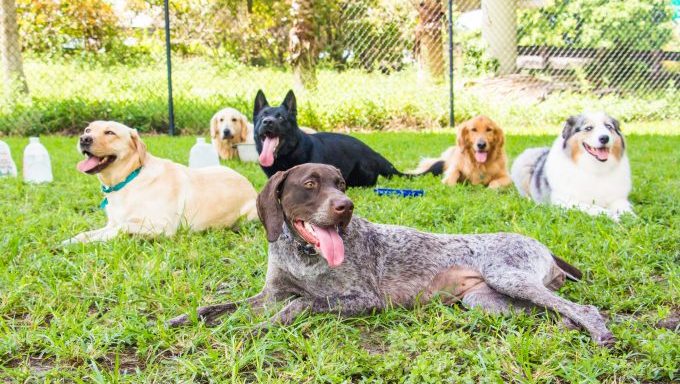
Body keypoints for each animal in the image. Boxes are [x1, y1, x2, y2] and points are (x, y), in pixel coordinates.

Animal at [63, 121, 258, 244]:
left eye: (110, 132)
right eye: (88, 130)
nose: (83, 139)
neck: (128, 179)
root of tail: (249, 184)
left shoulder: (163, 226)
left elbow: (121, 227)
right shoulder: (111, 222)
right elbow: (88, 232)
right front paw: (71, 240)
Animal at [170, 163, 616, 348]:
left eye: (341, 183)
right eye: (310, 184)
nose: (345, 207)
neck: (303, 254)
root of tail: (544, 247)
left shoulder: (363, 300)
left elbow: (301, 304)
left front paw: (253, 331)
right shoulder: (270, 293)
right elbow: (220, 306)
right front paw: (186, 318)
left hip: (509, 279)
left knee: (585, 309)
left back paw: (599, 333)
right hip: (484, 300)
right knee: (557, 312)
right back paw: (565, 328)